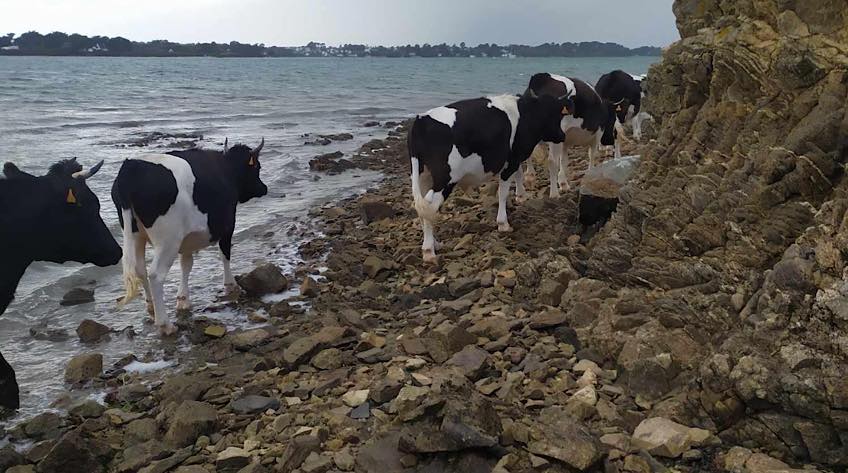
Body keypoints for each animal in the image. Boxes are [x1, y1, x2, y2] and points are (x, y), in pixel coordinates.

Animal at [111, 138, 266, 334]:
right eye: (257, 167)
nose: (264, 188)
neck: (227, 169)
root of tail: (131, 167)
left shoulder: (187, 239)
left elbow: (186, 264)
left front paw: (183, 299)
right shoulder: (228, 225)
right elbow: (225, 254)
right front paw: (230, 285)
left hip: (136, 234)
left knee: (140, 269)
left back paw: (151, 306)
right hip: (168, 240)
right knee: (156, 275)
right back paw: (165, 324)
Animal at [408, 92, 572, 262]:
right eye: (554, 115)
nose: (562, 136)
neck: (525, 113)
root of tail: (422, 120)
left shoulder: (515, 161)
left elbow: (518, 176)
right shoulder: (511, 162)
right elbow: (503, 193)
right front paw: (503, 223)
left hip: (423, 175)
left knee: (421, 206)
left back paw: (435, 243)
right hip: (445, 178)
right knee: (430, 206)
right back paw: (429, 250)